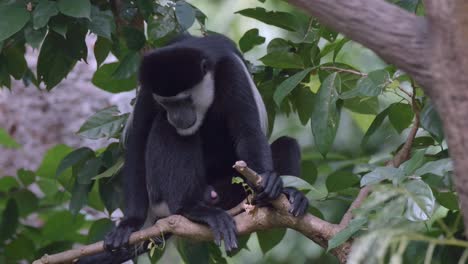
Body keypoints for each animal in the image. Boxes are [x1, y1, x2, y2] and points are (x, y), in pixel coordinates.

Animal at [79, 34, 308, 262]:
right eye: (167, 103)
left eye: (185, 100)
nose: (177, 117)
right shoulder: (148, 90)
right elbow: (138, 141)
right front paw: (130, 223)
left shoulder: (232, 72)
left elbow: (248, 131)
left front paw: (268, 180)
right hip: (162, 194)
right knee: (168, 130)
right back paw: (192, 210)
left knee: (288, 144)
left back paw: (286, 196)